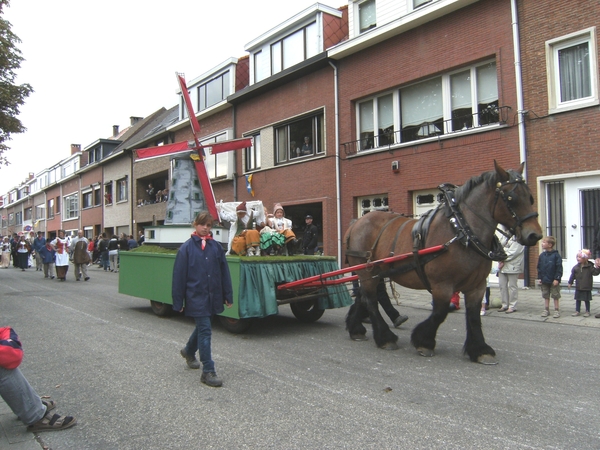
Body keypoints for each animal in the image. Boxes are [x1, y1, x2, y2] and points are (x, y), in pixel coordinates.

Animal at [342, 163, 544, 366]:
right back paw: (385, 337)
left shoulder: (477, 286)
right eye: (510, 198)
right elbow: (440, 312)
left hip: (374, 273)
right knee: (371, 300)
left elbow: (473, 316)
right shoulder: (442, 285)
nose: (535, 235)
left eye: (531, 197)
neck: (461, 231)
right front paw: (424, 341)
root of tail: (356, 222)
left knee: (363, 297)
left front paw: (480, 349)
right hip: (367, 273)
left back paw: (356, 328)